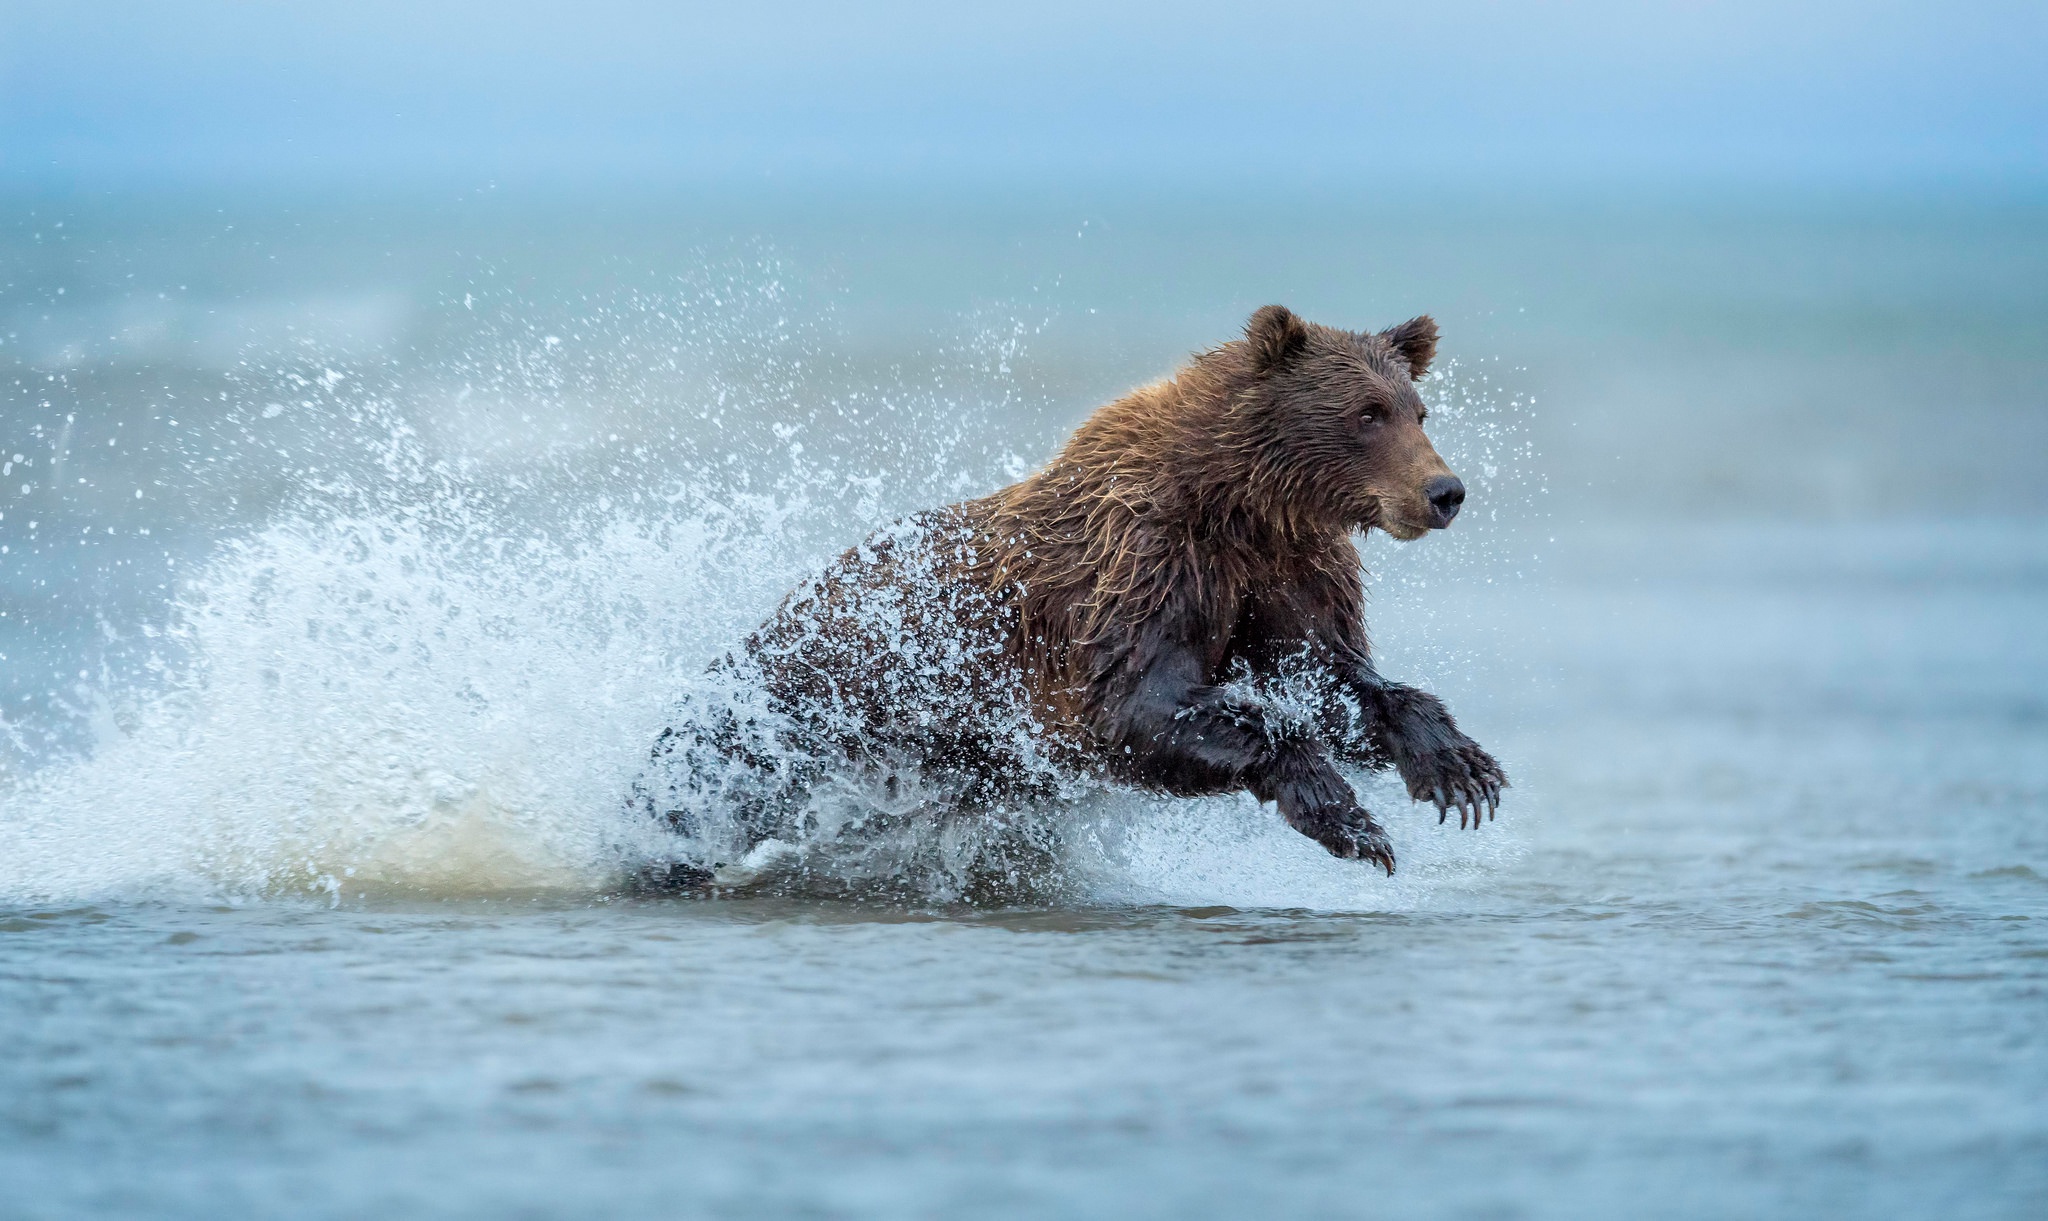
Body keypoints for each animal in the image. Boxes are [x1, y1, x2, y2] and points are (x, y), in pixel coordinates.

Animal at [638, 305, 1507, 876]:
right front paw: (1346, 814)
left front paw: (1459, 768)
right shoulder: (1143, 569)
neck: (1240, 503)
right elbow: (1141, 705)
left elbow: (1330, 675)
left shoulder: (1283, 572)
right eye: (1367, 412)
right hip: (800, 716)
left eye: (1419, 408)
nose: (1444, 491)